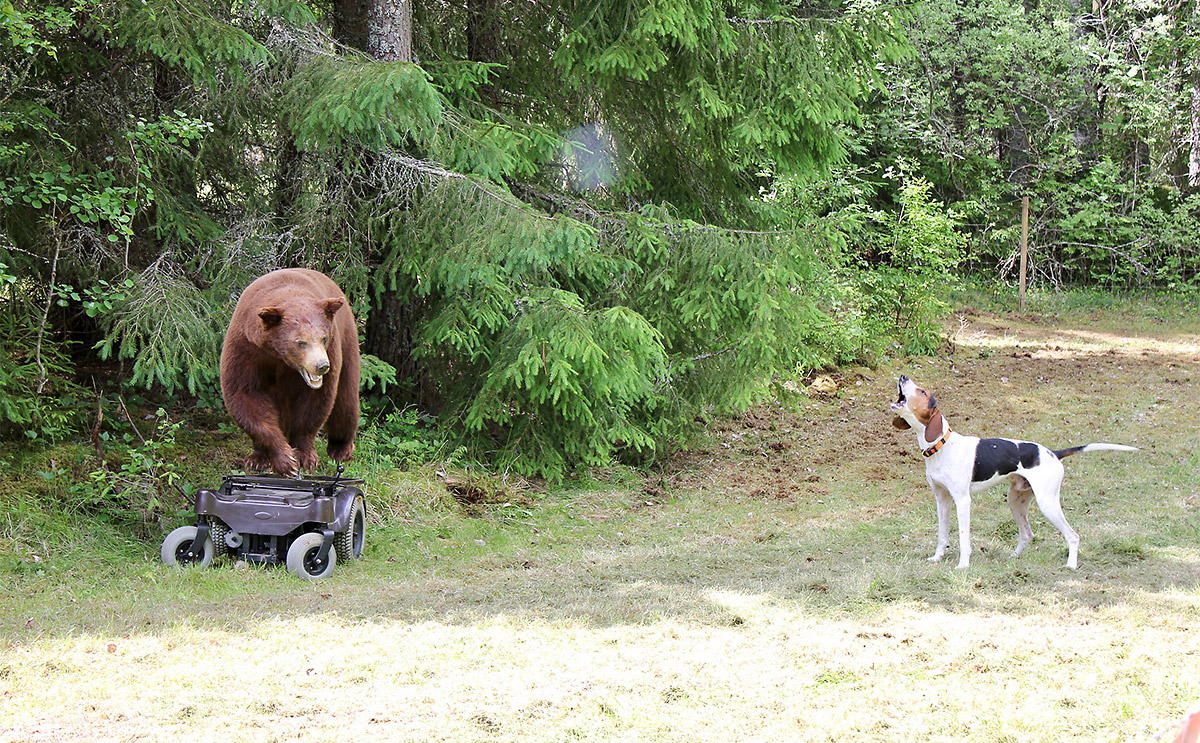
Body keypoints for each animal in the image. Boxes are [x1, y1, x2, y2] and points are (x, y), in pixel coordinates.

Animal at [222, 267, 360, 477]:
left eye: (323, 338)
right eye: (300, 342)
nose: (322, 365)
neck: (279, 356)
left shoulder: (332, 349)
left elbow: (315, 401)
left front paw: (304, 457)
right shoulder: (246, 348)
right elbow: (245, 395)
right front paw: (285, 460)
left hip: (347, 340)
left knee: (346, 397)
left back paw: (341, 448)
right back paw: (258, 457)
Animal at [892, 376, 1132, 568]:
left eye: (923, 392)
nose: (903, 376)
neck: (941, 446)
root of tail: (1053, 453)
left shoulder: (962, 500)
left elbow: (963, 537)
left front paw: (963, 565)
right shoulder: (942, 499)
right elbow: (942, 534)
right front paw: (937, 558)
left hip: (1047, 503)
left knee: (1072, 536)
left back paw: (1071, 565)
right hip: (1016, 501)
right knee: (1027, 534)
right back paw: (1014, 557)